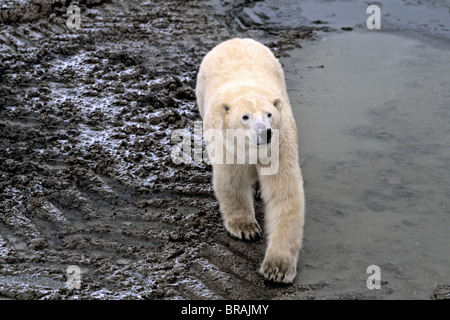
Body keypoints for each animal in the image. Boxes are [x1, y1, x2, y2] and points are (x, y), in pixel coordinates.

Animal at [195, 37, 304, 282]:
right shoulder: (228, 144)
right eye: (245, 117)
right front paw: (247, 229)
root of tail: (234, 40)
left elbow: (284, 192)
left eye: (269, 114)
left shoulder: (279, 145)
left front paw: (277, 268)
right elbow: (232, 181)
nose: (265, 133)